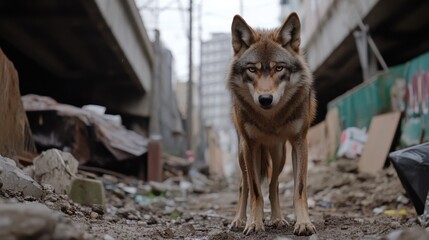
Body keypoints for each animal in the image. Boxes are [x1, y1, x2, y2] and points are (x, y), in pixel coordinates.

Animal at [227, 12, 314, 235]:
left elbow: (299, 189)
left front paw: (304, 223)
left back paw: (277, 219)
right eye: (252, 69)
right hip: (242, 154)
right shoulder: (250, 145)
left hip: (279, 155)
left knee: (274, 184)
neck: (270, 118)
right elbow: (256, 191)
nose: (265, 99)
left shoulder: (300, 142)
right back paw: (239, 220)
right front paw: (253, 223)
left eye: (279, 67)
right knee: (244, 186)